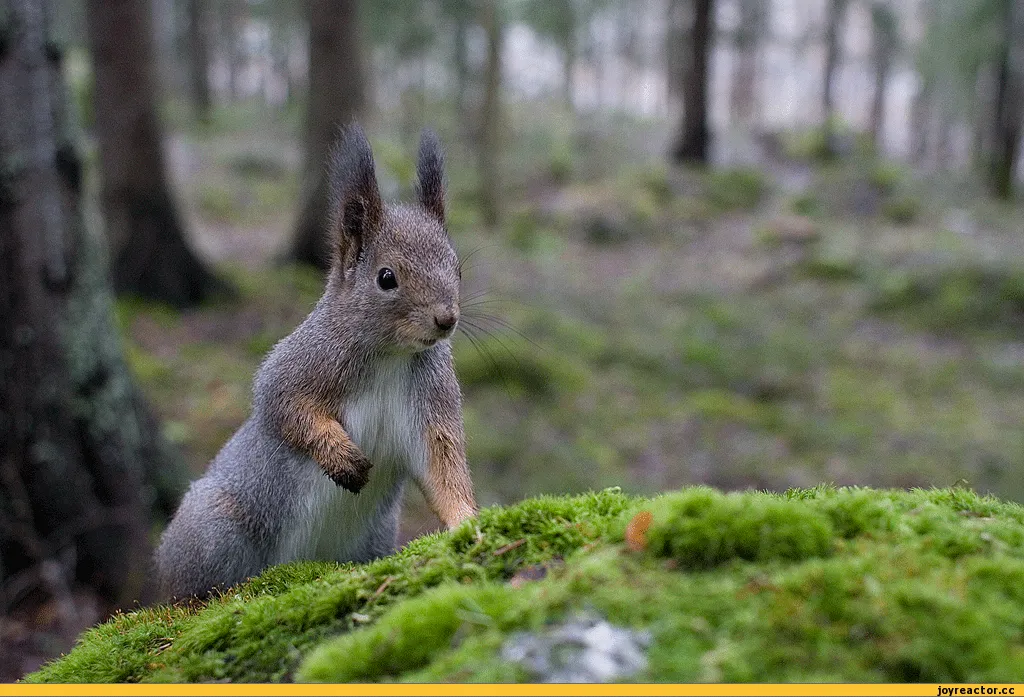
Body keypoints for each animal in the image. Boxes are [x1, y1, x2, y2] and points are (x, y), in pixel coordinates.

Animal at [154, 123, 479, 597]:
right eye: (386, 278)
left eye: (456, 268)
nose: (446, 319)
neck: (391, 356)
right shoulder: (299, 364)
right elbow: (285, 408)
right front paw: (340, 457)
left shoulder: (431, 407)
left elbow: (443, 468)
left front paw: (467, 520)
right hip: (213, 532)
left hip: (375, 535)